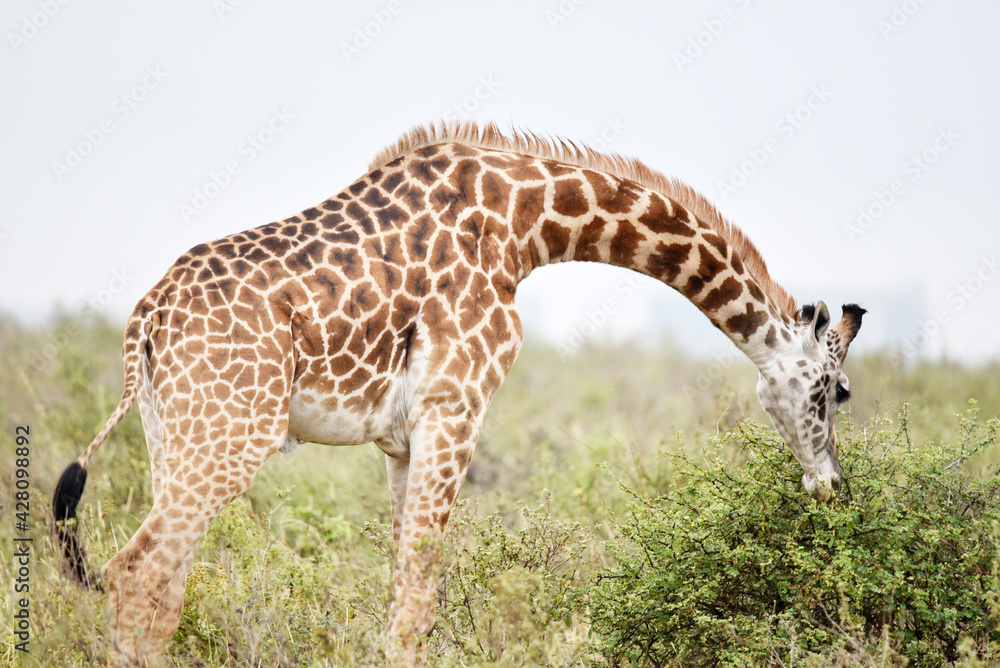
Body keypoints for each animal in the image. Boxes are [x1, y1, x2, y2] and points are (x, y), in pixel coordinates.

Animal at [52, 121, 864, 666]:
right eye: (839, 391)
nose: (831, 486)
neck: (526, 227)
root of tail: (147, 317)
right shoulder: (457, 406)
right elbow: (418, 596)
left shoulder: (400, 438)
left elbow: (403, 586)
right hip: (233, 433)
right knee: (135, 572)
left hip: (174, 433)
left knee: (162, 591)